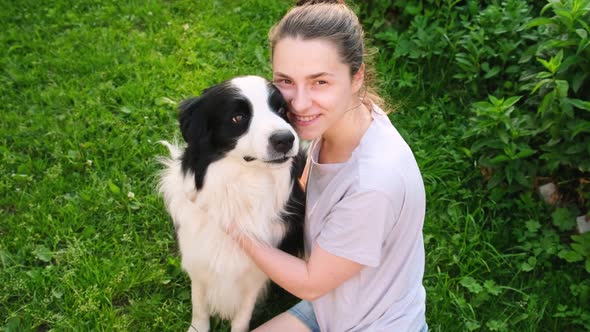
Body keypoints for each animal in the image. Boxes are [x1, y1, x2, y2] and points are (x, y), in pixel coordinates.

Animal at [157, 76, 306, 332]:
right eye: (238, 117)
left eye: (281, 110)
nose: (285, 139)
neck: (241, 187)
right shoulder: (197, 259)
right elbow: (199, 306)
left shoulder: (255, 273)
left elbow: (242, 316)